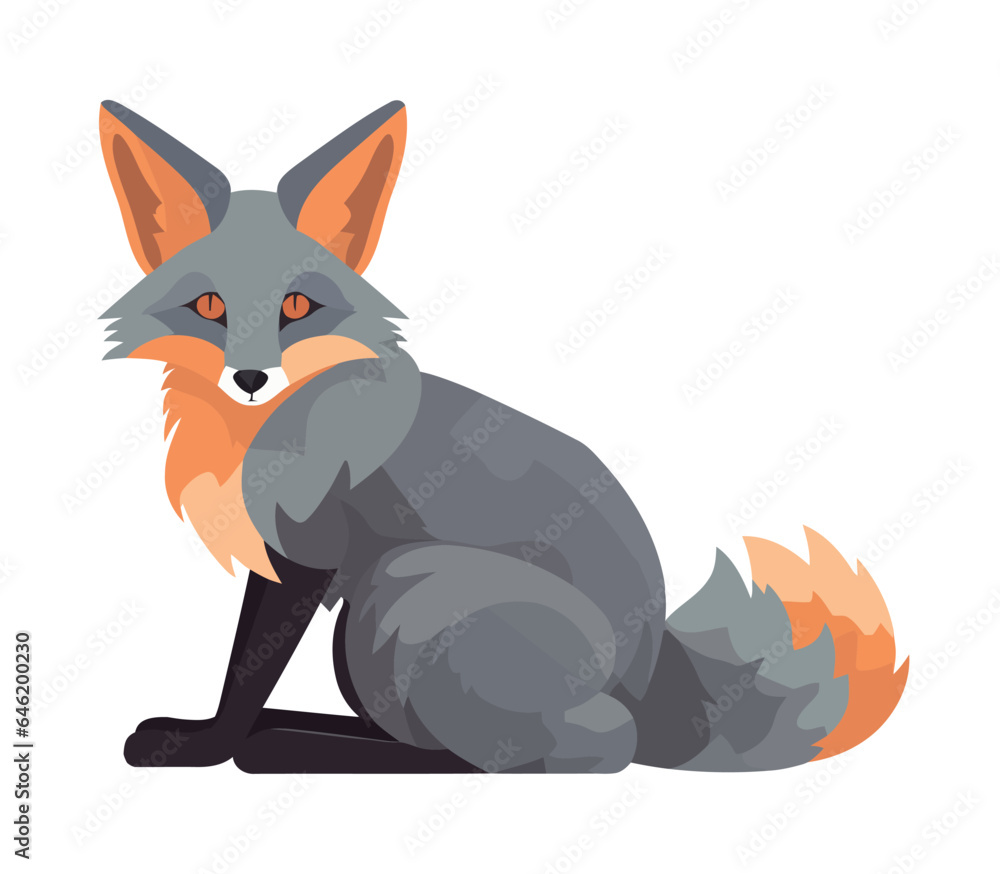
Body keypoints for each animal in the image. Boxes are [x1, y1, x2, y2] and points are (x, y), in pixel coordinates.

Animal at [97, 99, 908, 774]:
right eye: (209, 307)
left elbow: (245, 674)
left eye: (298, 307)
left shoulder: (308, 549)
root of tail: (655, 682)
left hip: (407, 590)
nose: (252, 379)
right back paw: (301, 730)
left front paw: (207, 747)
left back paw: (287, 747)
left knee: (553, 755)